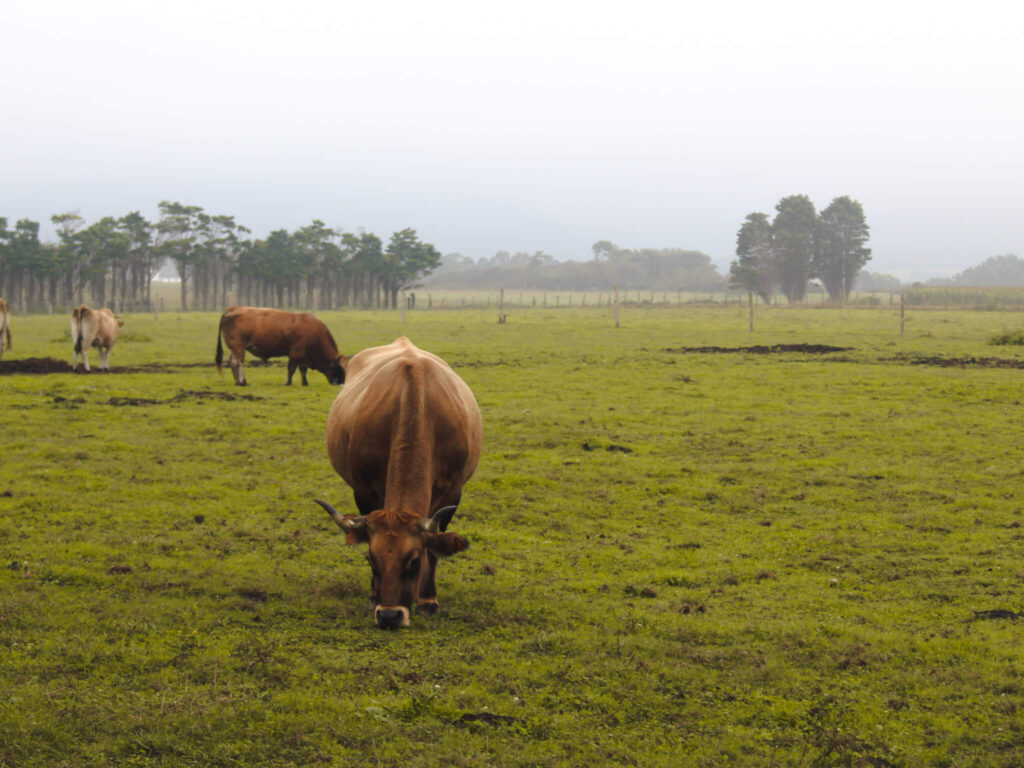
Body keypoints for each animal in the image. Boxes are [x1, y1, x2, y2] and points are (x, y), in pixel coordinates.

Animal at [215, 306, 347, 386]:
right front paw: (288, 382)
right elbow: (292, 368)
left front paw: (305, 382)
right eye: (339, 369)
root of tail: (234, 308)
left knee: (232, 362)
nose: (342, 383)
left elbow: (303, 369)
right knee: (238, 362)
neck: (313, 330)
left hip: (234, 348)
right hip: (239, 347)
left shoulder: (304, 355)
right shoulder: (296, 352)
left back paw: (237, 381)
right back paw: (242, 381)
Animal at [314, 337, 483, 629]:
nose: (389, 616)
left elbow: (435, 548)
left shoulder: (453, 493)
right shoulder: (364, 491)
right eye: (372, 559)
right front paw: (373, 594)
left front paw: (428, 600)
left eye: (414, 563)